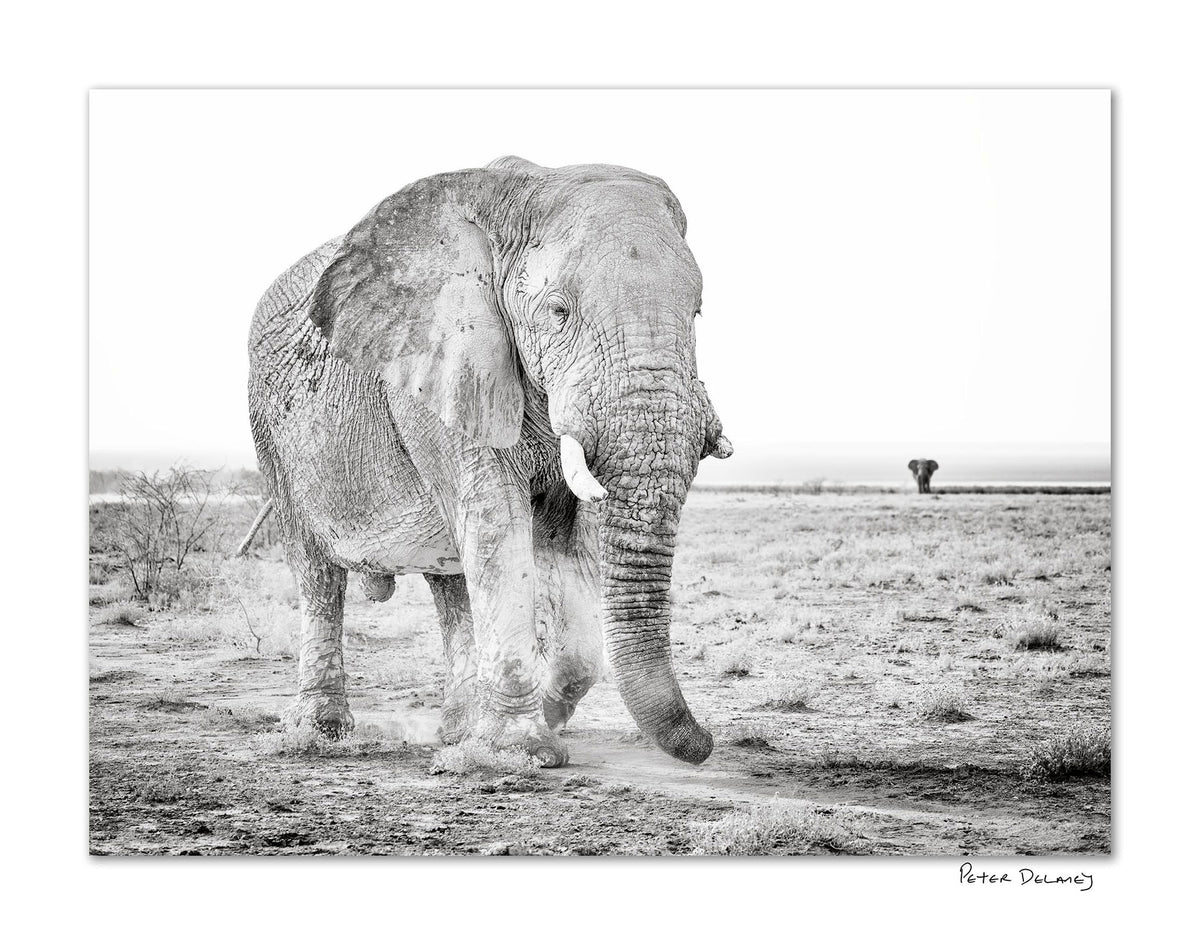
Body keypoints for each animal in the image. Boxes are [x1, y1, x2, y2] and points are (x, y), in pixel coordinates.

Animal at [246, 157, 733, 768]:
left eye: (697, 312)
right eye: (558, 311)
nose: (707, 745)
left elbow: (567, 541)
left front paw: (527, 726)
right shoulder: (440, 369)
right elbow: (497, 520)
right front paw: (523, 752)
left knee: (451, 581)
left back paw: (457, 730)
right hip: (272, 435)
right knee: (317, 575)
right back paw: (319, 733)